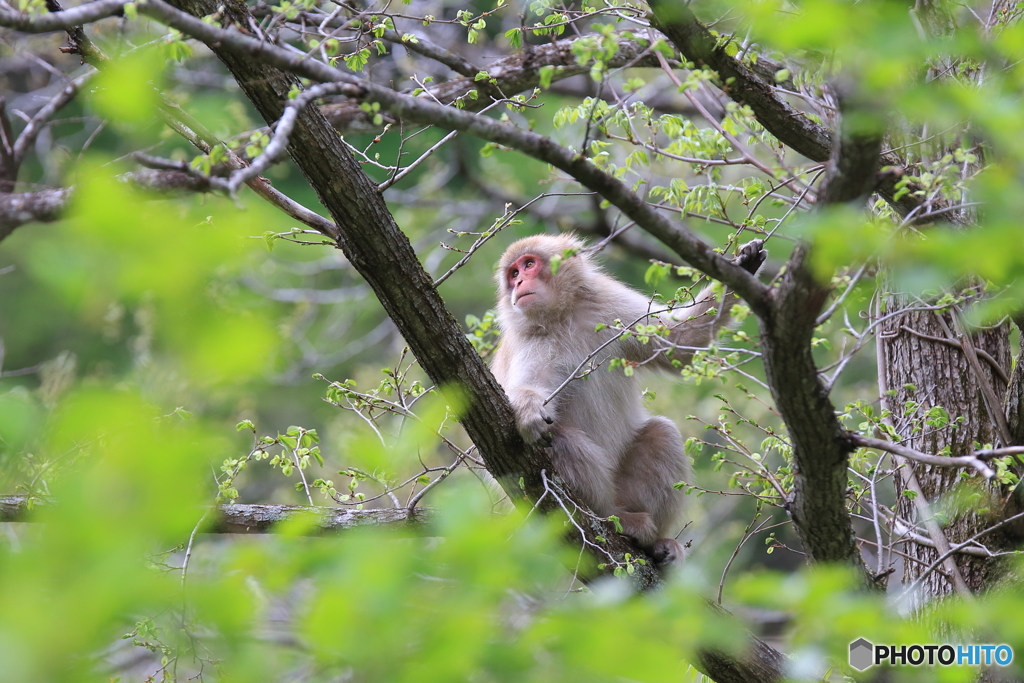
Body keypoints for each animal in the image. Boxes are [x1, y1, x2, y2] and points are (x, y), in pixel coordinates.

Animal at [491, 235, 765, 565]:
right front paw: (529, 412)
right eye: (513, 274)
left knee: (662, 433)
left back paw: (654, 542)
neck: (563, 315)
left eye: (529, 264)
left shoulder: (610, 305)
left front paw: (746, 266)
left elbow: (678, 342)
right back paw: (612, 517)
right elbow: (529, 391)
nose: (518, 283)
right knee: (560, 438)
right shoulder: (531, 340)